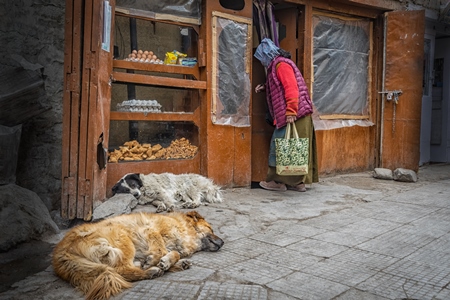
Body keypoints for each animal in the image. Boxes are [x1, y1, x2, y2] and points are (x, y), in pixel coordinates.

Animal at [51, 211, 224, 300]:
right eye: (211, 229)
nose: (222, 243)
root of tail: (60, 253)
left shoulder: (174, 246)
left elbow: (173, 253)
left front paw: (167, 262)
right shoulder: (150, 230)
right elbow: (161, 249)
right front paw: (157, 261)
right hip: (123, 238)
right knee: (121, 270)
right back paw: (151, 270)